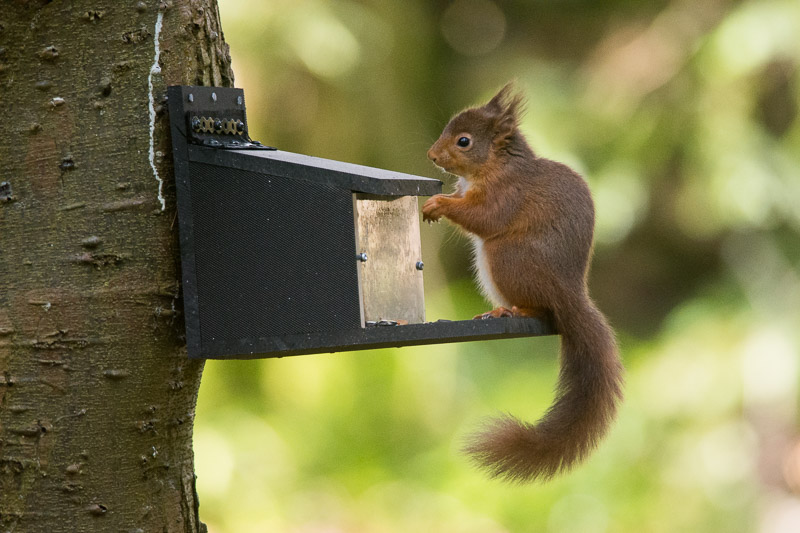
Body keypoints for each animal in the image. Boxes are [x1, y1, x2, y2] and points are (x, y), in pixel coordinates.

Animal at [422, 83, 620, 482]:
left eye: (464, 141)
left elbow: (484, 217)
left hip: (506, 258)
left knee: (541, 310)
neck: (495, 166)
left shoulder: (507, 194)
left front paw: (438, 204)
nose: (432, 155)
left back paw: (511, 311)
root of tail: (570, 294)